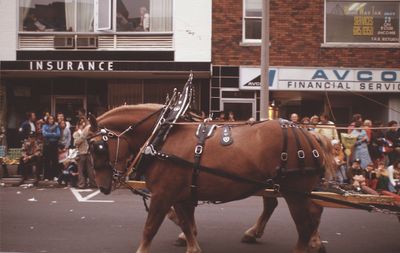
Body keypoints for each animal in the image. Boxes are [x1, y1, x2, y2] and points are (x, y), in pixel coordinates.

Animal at [87, 103, 334, 253]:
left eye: (98, 147)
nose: (102, 186)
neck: (162, 136)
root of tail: (309, 134)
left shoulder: (162, 195)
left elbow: (150, 228)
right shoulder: (179, 194)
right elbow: (185, 222)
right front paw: (190, 243)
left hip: (293, 191)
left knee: (304, 223)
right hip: (288, 188)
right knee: (309, 210)